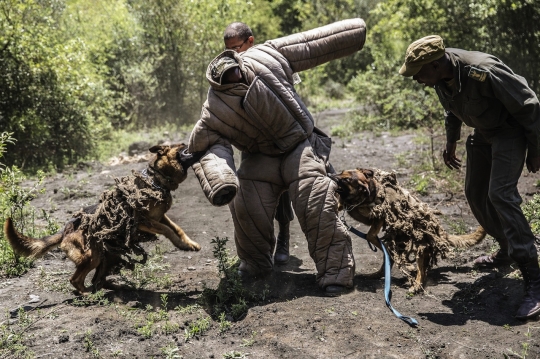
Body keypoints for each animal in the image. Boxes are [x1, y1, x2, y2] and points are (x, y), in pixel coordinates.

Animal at [4, 143, 202, 296]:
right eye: (183, 145)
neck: (157, 180)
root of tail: (65, 230)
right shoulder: (144, 222)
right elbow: (167, 230)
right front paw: (181, 244)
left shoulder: (162, 217)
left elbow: (177, 228)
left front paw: (188, 244)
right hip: (93, 256)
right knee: (75, 280)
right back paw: (87, 294)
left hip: (108, 256)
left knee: (96, 279)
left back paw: (114, 287)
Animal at [332, 168, 488, 292]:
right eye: (342, 172)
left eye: (347, 179)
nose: (332, 175)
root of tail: (440, 232)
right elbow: (341, 204)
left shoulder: (379, 217)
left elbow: (370, 234)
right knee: (389, 260)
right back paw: (377, 273)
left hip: (420, 248)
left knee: (421, 271)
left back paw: (416, 285)